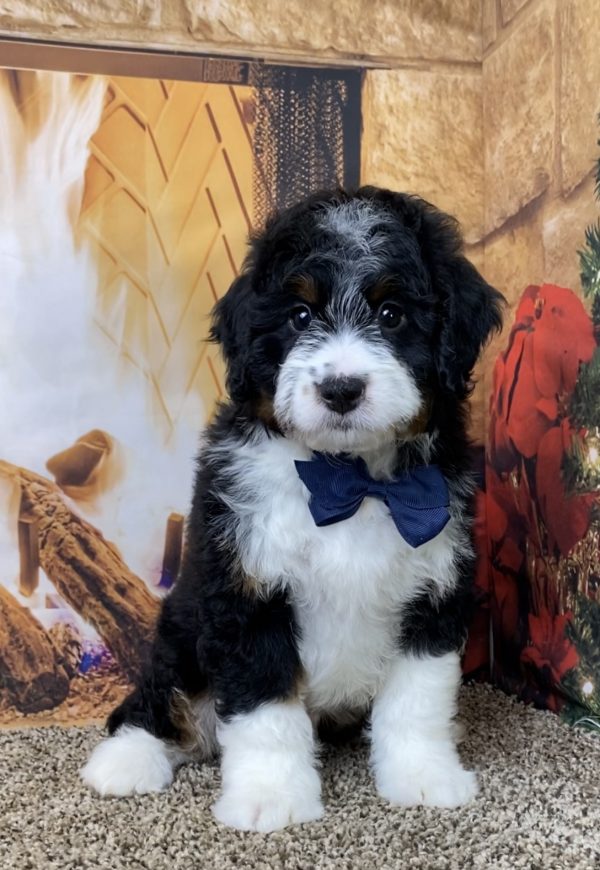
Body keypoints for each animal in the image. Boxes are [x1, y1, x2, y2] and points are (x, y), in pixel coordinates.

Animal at [79, 189, 502, 832]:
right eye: (300, 316)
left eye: (392, 314)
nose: (341, 389)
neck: (348, 479)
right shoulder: (246, 591)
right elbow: (265, 710)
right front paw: (270, 797)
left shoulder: (435, 590)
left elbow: (418, 700)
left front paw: (424, 777)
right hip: (182, 622)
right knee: (163, 695)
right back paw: (126, 760)